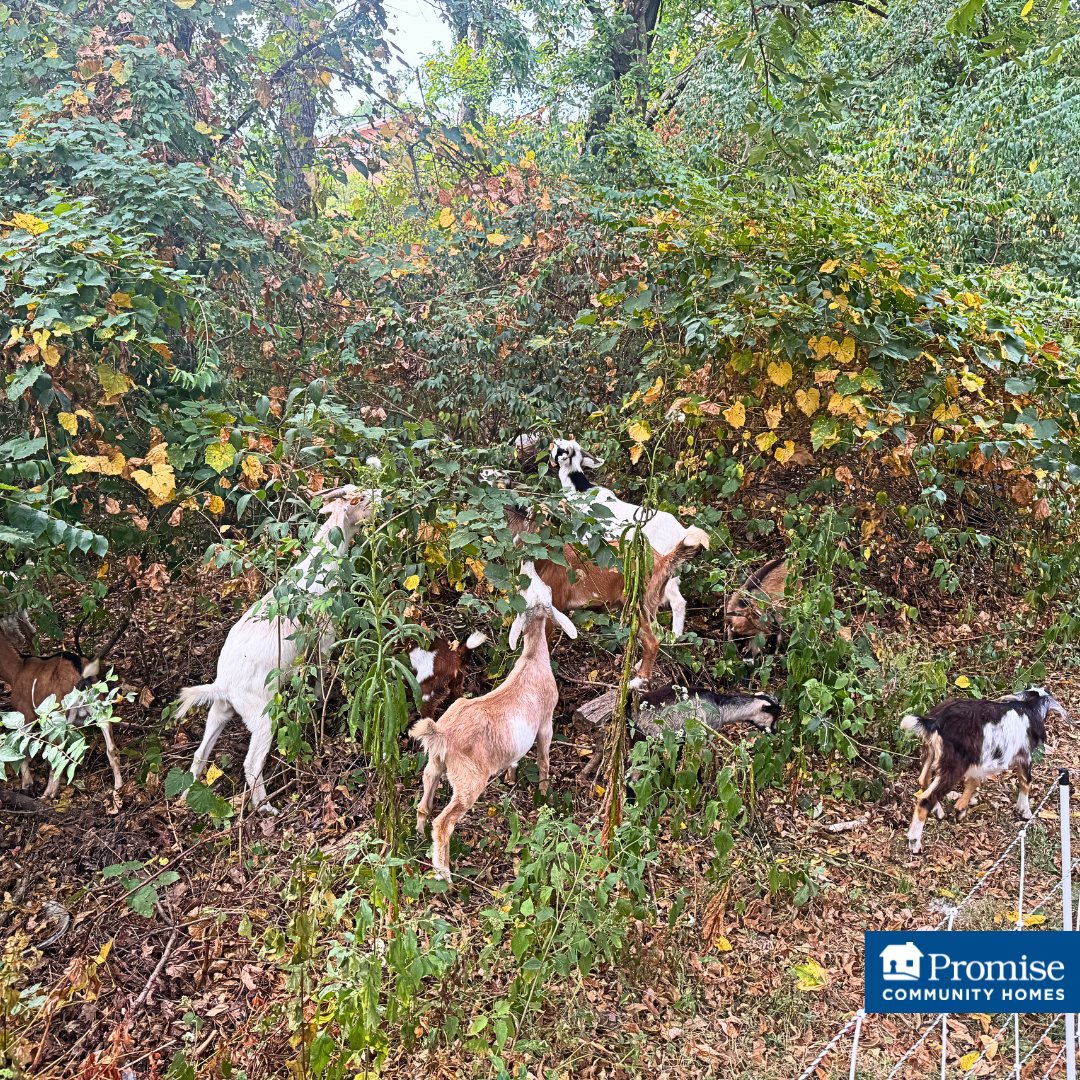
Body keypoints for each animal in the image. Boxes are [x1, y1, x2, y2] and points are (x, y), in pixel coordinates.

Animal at [0, 609, 129, 798]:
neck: (17, 669)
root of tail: (81, 673)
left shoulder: (25, 714)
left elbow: (21, 750)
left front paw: (27, 785)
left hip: (58, 716)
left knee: (56, 754)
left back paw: (48, 794)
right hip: (100, 706)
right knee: (111, 748)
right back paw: (118, 787)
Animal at [174, 484, 379, 812]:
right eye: (360, 498)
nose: (383, 494)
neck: (320, 563)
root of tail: (223, 683)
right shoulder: (324, 636)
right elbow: (321, 670)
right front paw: (321, 702)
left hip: (220, 710)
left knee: (199, 754)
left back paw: (187, 797)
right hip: (262, 715)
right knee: (250, 764)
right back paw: (265, 807)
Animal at [410, 561, 577, 882]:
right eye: (544, 589)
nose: (528, 564)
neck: (532, 659)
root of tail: (441, 735)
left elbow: (516, 757)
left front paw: (511, 776)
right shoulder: (545, 721)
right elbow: (544, 758)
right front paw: (544, 794)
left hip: (435, 764)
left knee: (424, 803)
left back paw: (420, 838)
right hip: (469, 781)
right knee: (444, 822)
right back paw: (444, 875)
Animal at [549, 438, 699, 635]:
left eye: (561, 450)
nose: (555, 441)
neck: (580, 490)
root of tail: (682, 532)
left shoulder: (585, 542)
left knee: (677, 602)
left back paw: (674, 636)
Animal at [900, 687, 1068, 854]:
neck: (1029, 707)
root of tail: (935, 722)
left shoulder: (979, 761)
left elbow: (974, 781)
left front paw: (962, 807)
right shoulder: (1024, 756)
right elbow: (1026, 781)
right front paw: (1025, 812)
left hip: (931, 752)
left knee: (924, 780)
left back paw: (938, 811)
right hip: (955, 765)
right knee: (925, 799)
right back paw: (915, 842)